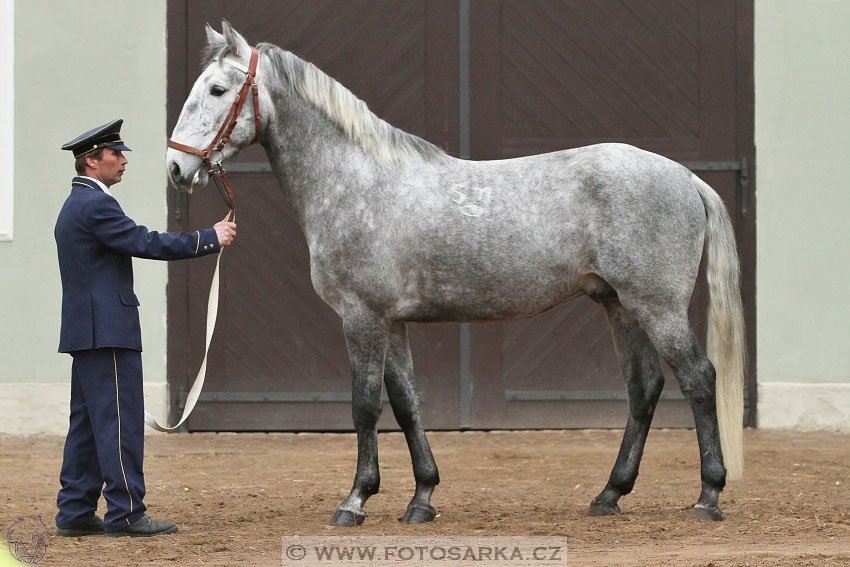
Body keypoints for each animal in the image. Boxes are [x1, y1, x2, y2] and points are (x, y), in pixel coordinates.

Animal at [166, 22, 744, 528]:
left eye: (218, 89)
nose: (176, 169)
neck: (357, 182)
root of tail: (684, 176)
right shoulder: (393, 322)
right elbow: (406, 404)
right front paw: (421, 498)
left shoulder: (362, 317)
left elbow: (364, 406)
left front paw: (355, 501)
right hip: (620, 305)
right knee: (643, 387)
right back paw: (609, 495)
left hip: (656, 306)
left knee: (698, 378)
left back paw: (708, 495)